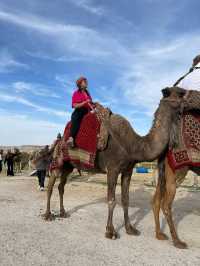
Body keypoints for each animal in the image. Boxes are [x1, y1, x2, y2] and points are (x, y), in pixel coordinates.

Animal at [38, 87, 188, 239]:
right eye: (180, 93)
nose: (189, 100)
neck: (133, 144)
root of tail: (59, 140)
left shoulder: (127, 170)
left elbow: (125, 200)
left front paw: (130, 228)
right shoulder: (112, 169)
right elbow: (111, 200)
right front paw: (110, 231)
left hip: (68, 166)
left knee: (61, 186)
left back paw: (63, 212)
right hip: (58, 161)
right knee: (51, 186)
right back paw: (48, 215)